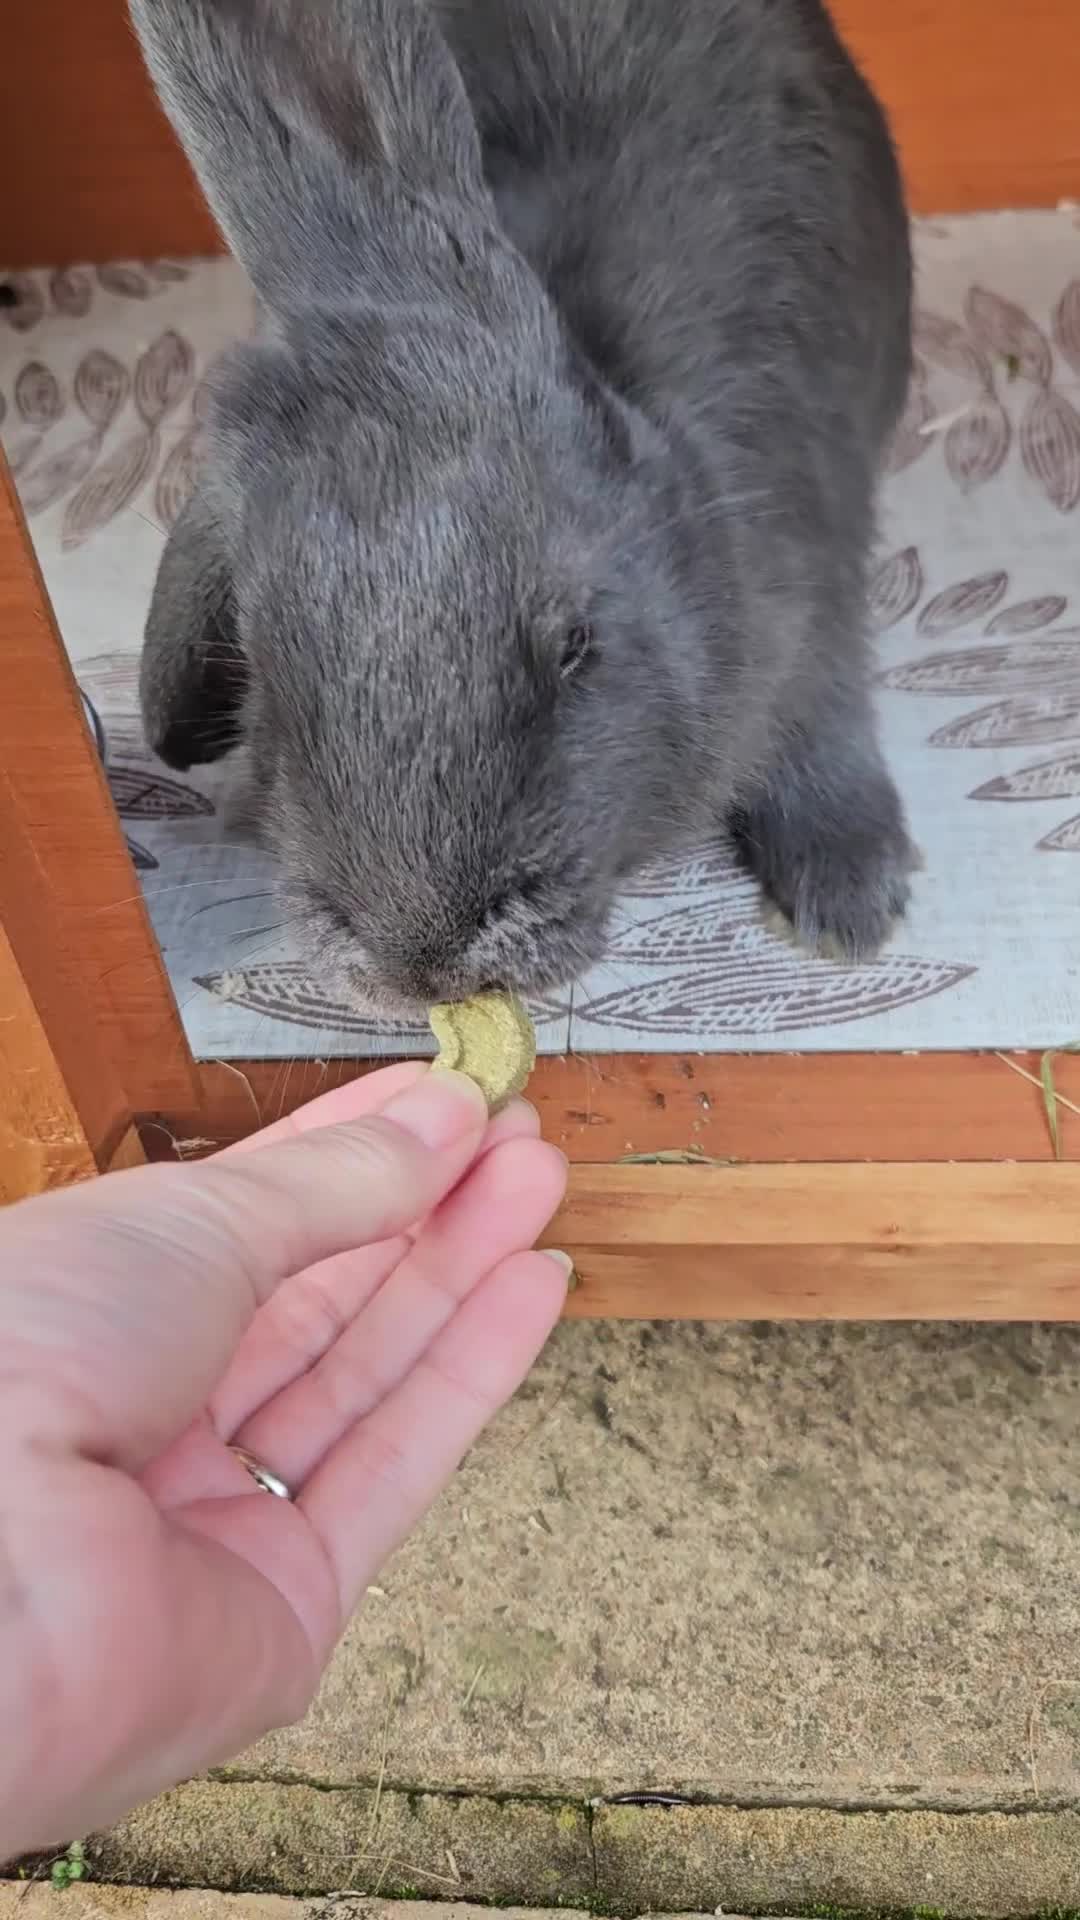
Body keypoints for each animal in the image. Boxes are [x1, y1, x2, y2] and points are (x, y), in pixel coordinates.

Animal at [131, 0, 915, 1015]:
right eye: (258, 666)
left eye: (578, 644)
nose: (421, 960)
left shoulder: (815, 597)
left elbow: (827, 723)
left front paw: (848, 905)